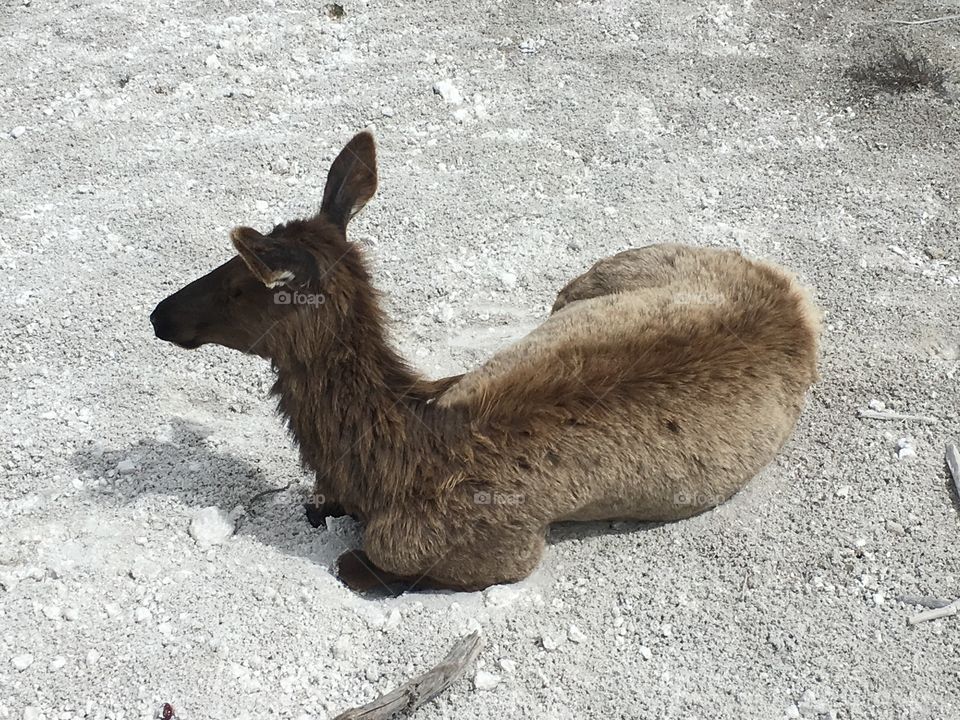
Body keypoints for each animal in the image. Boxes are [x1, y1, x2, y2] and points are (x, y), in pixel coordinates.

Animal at [150, 131, 821, 592]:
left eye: (241, 282)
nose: (160, 314)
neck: (388, 467)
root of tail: (798, 299)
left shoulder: (501, 551)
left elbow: (357, 563)